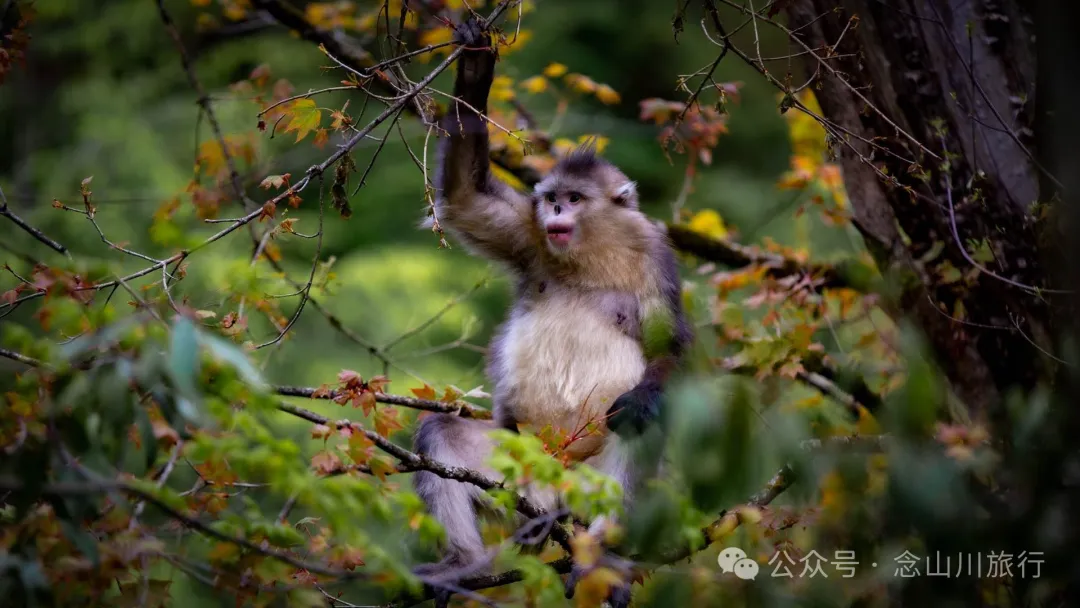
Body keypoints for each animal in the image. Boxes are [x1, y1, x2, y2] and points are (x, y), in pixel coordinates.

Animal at [411, 15, 692, 607]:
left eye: (576, 199)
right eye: (553, 199)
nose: (557, 211)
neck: (591, 255)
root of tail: (555, 489)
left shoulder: (655, 252)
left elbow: (670, 347)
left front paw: (643, 396)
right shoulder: (529, 232)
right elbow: (466, 201)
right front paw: (475, 71)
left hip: (587, 480)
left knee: (639, 428)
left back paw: (600, 558)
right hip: (521, 463)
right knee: (440, 436)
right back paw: (463, 564)